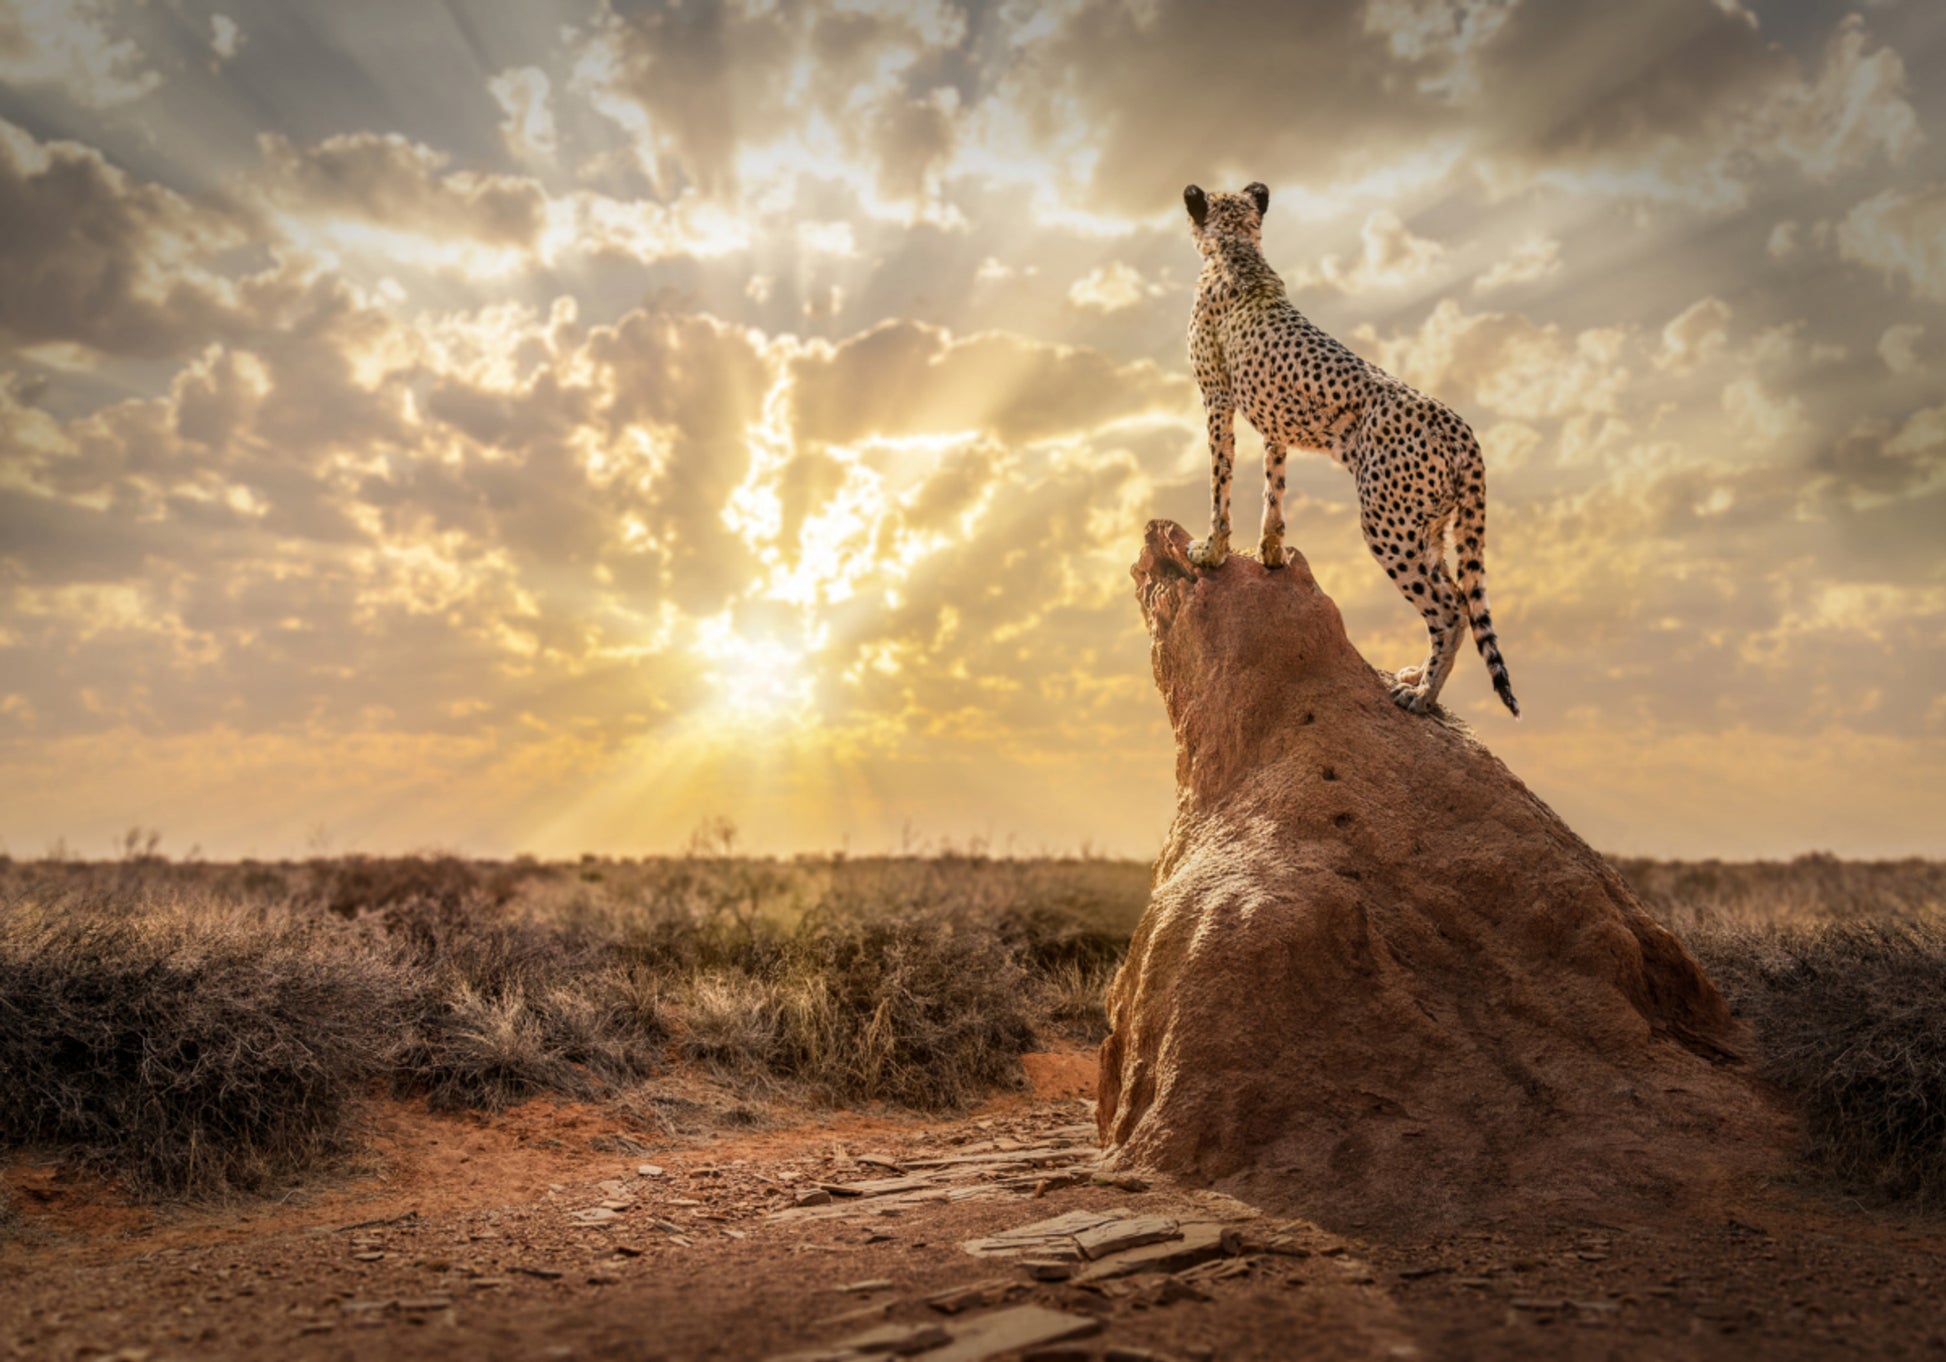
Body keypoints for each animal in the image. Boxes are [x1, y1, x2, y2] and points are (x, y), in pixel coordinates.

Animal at [1181, 180, 1518, 717]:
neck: (1237, 251)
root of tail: (1460, 426)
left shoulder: (1216, 399)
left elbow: (1221, 483)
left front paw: (1210, 551)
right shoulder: (1274, 421)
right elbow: (1273, 486)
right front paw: (1271, 553)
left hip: (1388, 523)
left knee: (1448, 609)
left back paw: (1422, 695)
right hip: (1428, 525)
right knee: (1461, 599)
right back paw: (1417, 676)